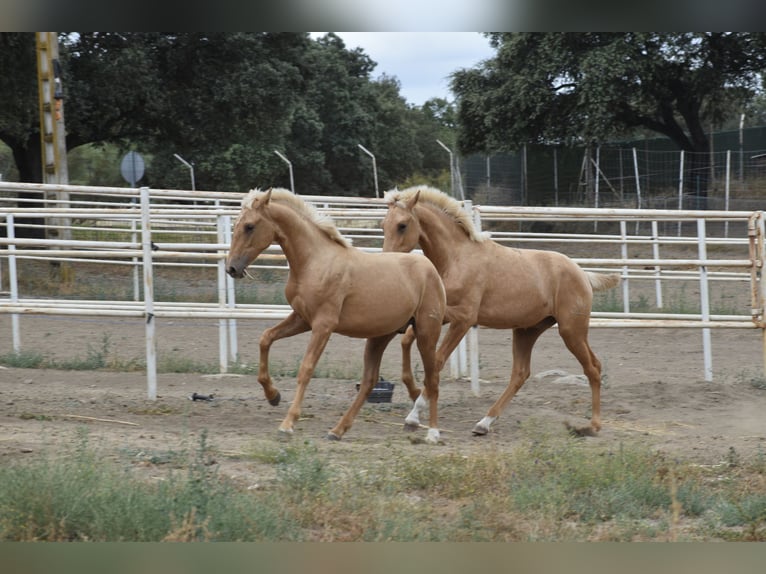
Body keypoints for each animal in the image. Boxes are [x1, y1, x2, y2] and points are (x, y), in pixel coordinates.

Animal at [380, 188, 620, 436]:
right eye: (383, 225)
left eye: (402, 225)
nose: (387, 260)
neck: (457, 258)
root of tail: (583, 274)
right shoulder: (440, 315)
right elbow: (406, 341)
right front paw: (413, 392)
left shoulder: (463, 320)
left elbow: (436, 361)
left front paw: (414, 415)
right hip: (527, 330)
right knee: (520, 373)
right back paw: (484, 423)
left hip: (571, 331)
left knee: (593, 368)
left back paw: (593, 425)